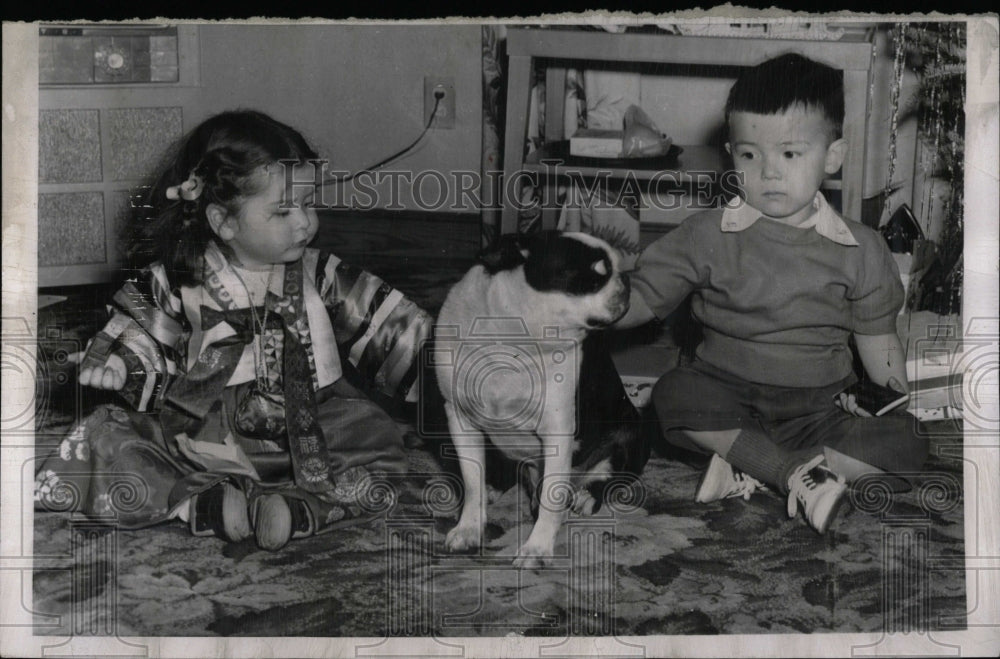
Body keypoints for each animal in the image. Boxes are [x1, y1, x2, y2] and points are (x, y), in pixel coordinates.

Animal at [432, 232, 652, 568]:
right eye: (593, 278)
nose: (626, 279)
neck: (513, 342)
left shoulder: (558, 431)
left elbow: (551, 496)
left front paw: (537, 549)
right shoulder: (460, 419)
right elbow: (471, 480)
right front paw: (469, 529)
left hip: (631, 433)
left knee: (608, 476)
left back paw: (587, 495)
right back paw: (496, 487)